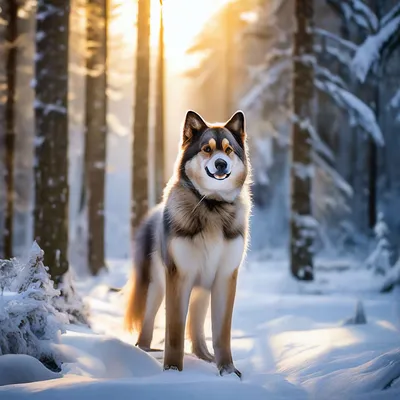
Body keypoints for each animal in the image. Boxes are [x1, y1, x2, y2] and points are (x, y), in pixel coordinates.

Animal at [123, 110, 252, 378]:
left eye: (228, 150)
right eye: (207, 149)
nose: (221, 164)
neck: (212, 206)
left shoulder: (225, 277)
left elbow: (221, 332)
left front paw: (227, 370)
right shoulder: (179, 275)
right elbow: (174, 331)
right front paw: (172, 370)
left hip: (201, 290)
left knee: (197, 328)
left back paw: (205, 357)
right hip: (155, 287)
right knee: (147, 326)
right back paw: (145, 353)